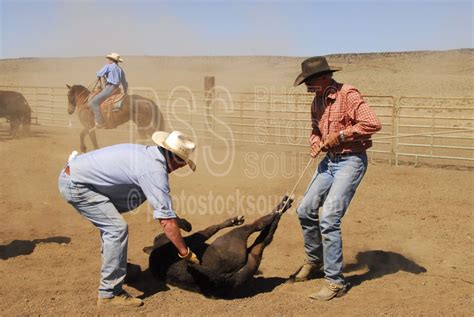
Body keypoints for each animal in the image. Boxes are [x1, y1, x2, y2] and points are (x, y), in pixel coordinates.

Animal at [143, 195, 294, 296]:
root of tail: (227, 278)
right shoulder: (194, 238)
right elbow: (211, 228)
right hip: (236, 238)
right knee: (257, 226)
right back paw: (277, 211)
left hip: (253, 255)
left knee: (267, 234)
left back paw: (283, 205)